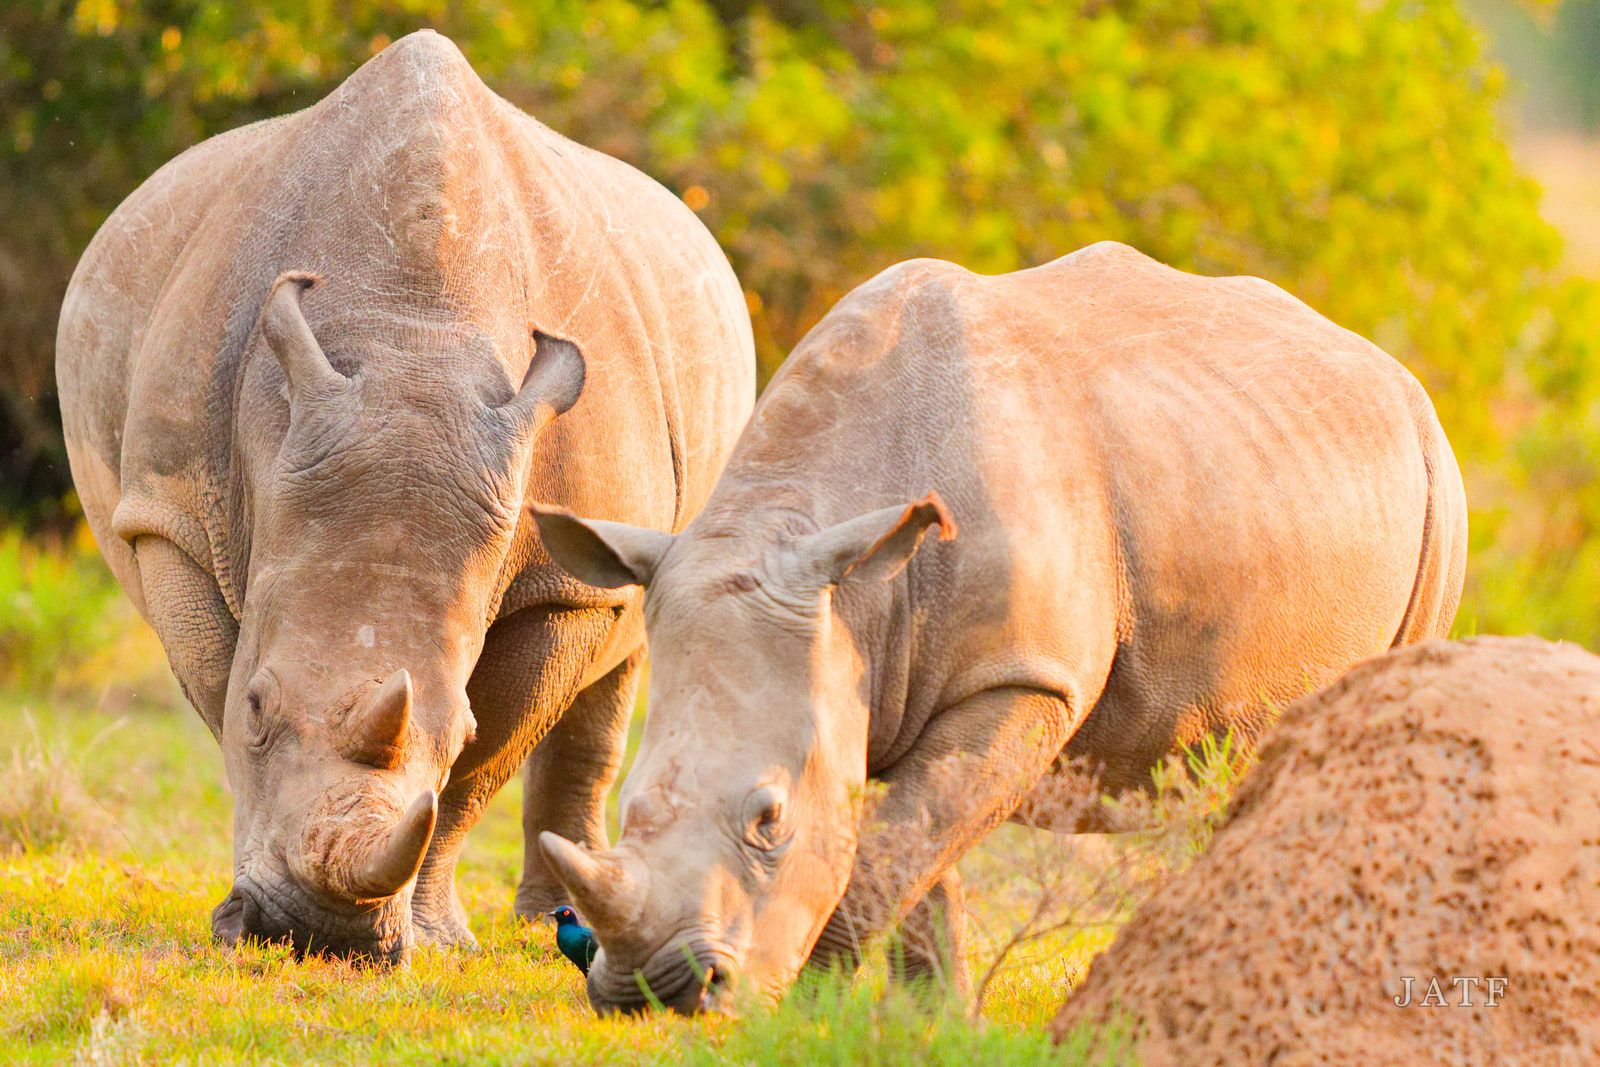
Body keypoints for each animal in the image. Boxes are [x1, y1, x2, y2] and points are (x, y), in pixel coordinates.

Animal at [55, 31, 754, 962]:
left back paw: (553, 923)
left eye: (456, 729)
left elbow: (481, 764)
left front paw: (436, 937)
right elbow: (214, 691)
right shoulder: (172, 519)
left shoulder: (564, 582)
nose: (320, 935)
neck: (414, 333)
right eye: (259, 705)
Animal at [532, 242, 1467, 1012]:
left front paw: (808, 1014)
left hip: (1437, 483)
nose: (649, 995)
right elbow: (916, 861)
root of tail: (1398, 376)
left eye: (770, 818)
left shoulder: (1023, 676)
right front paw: (927, 1023)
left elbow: (891, 851)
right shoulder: (880, 661)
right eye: (633, 802)